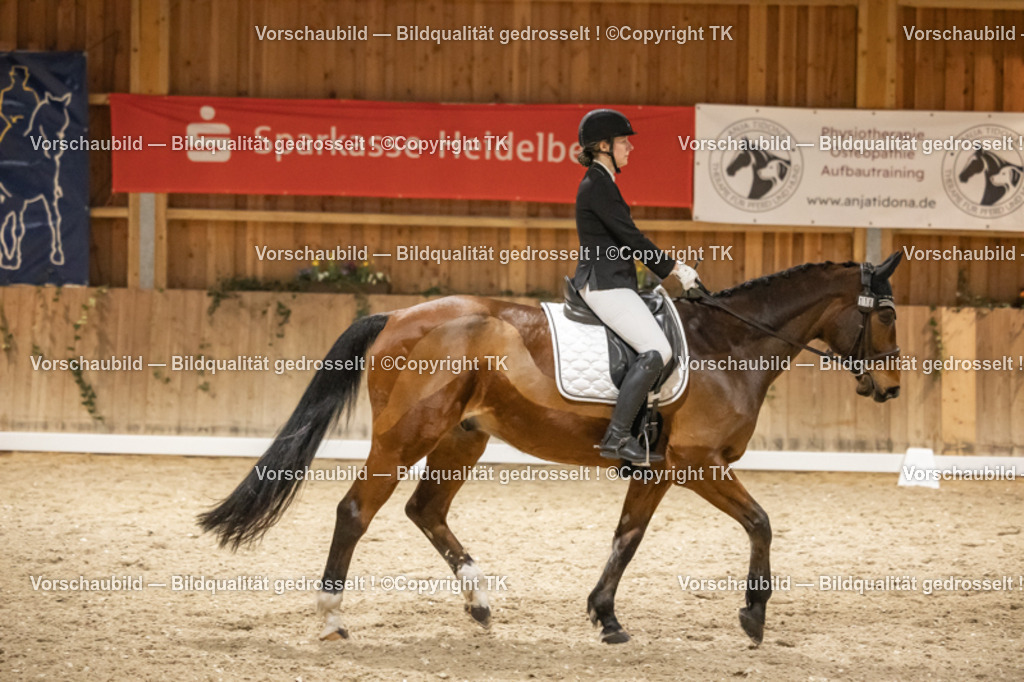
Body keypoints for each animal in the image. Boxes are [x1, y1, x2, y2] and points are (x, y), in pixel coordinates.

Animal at [199, 252, 904, 645]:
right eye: (890, 316)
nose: (891, 388)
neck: (727, 347)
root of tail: (396, 316)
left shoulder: (658, 470)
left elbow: (626, 538)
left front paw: (606, 618)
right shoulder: (698, 465)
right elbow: (761, 522)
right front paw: (754, 616)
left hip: (461, 438)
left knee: (425, 511)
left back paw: (480, 603)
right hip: (405, 436)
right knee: (355, 511)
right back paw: (331, 618)